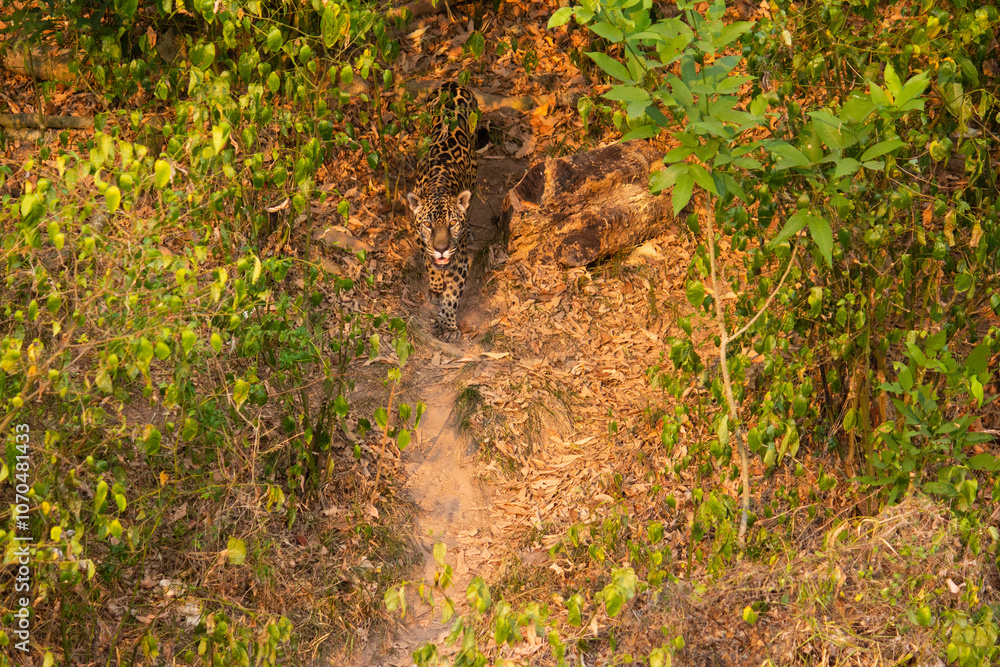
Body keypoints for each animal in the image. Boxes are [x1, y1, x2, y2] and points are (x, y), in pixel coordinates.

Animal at [405, 82, 479, 341]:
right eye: (428, 225)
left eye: (453, 223)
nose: (441, 249)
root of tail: (452, 83)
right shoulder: (422, 241)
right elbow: (430, 264)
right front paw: (436, 287)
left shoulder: (461, 256)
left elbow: (454, 292)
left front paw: (447, 324)